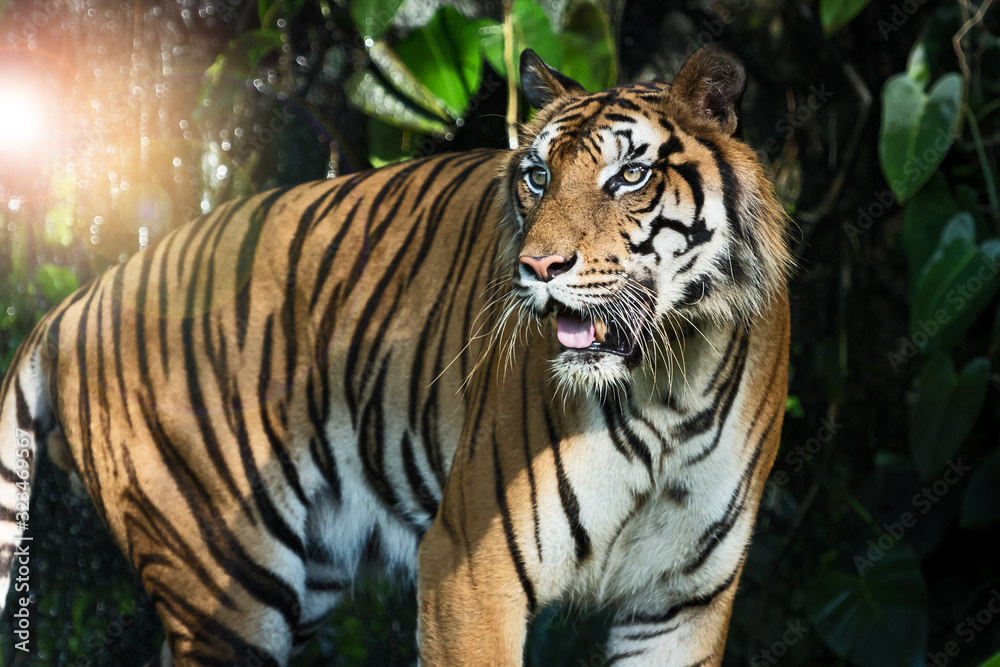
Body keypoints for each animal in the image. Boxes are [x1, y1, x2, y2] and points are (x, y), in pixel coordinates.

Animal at [1, 44, 788, 664]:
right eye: (537, 176)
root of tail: (78, 300)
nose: (538, 266)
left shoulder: (681, 602)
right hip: (224, 579)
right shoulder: (470, 566)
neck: (670, 377)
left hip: (308, 569)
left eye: (629, 176)